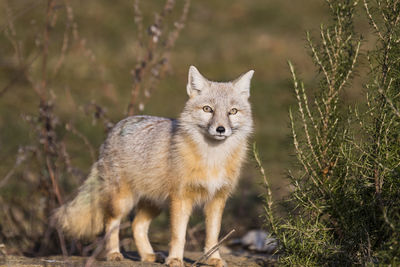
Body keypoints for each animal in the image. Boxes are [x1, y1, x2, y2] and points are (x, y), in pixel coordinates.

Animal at [52, 65, 253, 267]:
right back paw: (114, 254)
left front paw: (214, 259)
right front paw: (175, 259)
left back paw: (148, 255)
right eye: (207, 109)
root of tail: (115, 128)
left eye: (233, 111)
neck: (212, 158)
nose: (220, 129)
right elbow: (178, 235)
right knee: (111, 223)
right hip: (123, 202)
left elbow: (213, 236)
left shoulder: (217, 198)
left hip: (155, 204)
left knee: (136, 225)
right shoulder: (181, 198)